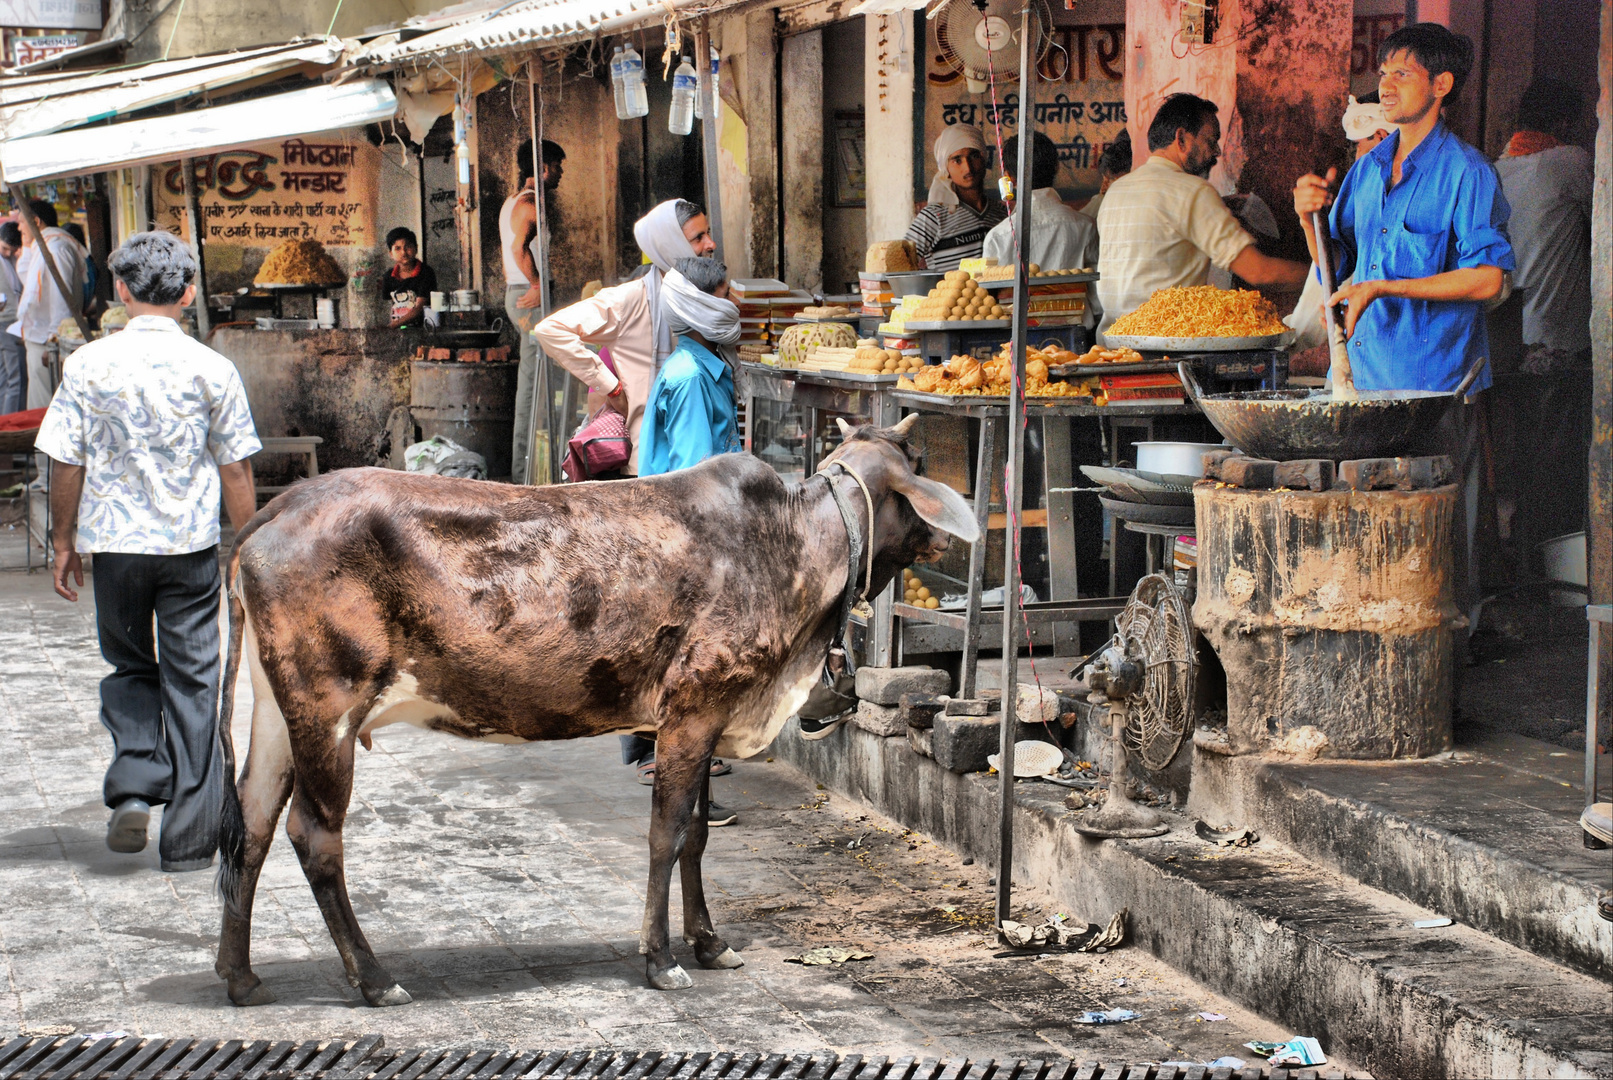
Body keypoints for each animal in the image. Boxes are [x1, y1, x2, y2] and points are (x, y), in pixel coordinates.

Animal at [209, 419, 974, 1012]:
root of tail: (281, 509)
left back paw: (239, 977)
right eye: (918, 467)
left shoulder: (704, 719)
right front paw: (660, 959)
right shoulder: (692, 710)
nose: (951, 542)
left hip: (280, 713)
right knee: (314, 835)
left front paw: (709, 942)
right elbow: (667, 835)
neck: (792, 547)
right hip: (329, 709)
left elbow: (698, 835)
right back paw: (373, 979)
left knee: (252, 818)